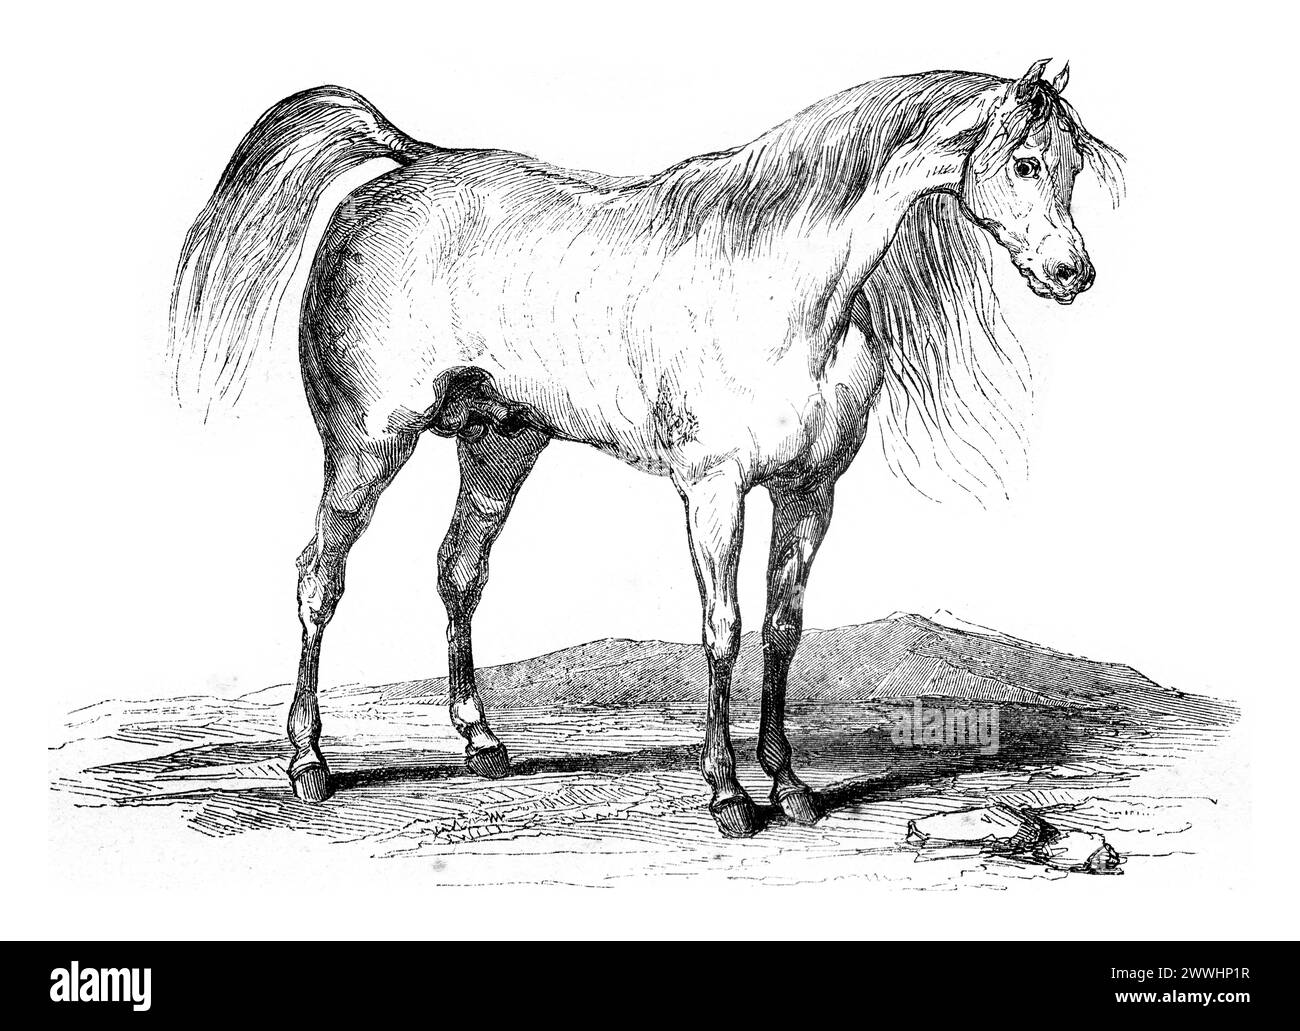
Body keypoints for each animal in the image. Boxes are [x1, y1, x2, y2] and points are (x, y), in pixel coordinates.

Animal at [170, 59, 1121, 837]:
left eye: (1072, 166)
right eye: (1025, 162)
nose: (1072, 274)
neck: (786, 288)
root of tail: (401, 169)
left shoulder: (810, 492)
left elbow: (783, 629)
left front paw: (792, 786)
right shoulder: (714, 491)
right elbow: (723, 630)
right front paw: (730, 795)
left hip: (498, 447)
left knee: (458, 572)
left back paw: (482, 742)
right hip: (367, 445)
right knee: (319, 577)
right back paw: (308, 764)